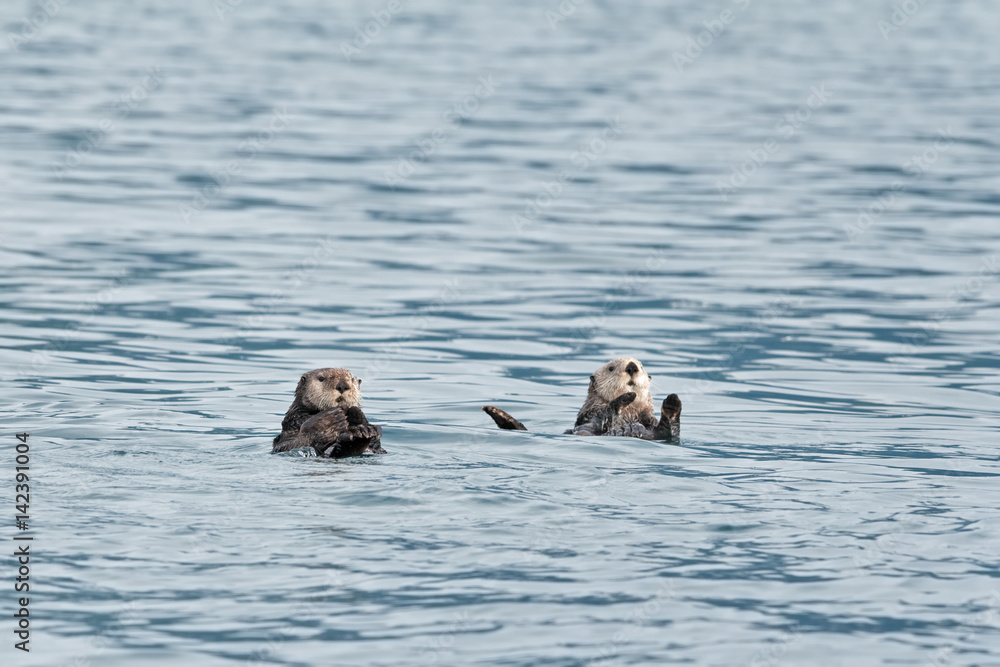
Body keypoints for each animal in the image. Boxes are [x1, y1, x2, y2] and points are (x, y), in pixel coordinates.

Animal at [482, 357, 681, 440]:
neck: (630, 415)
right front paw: (624, 398)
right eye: (611, 367)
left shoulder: (650, 425)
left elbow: (669, 432)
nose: (632, 366)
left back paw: (671, 404)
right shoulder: (590, 418)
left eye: (641, 366)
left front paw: (672, 401)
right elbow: (604, 417)